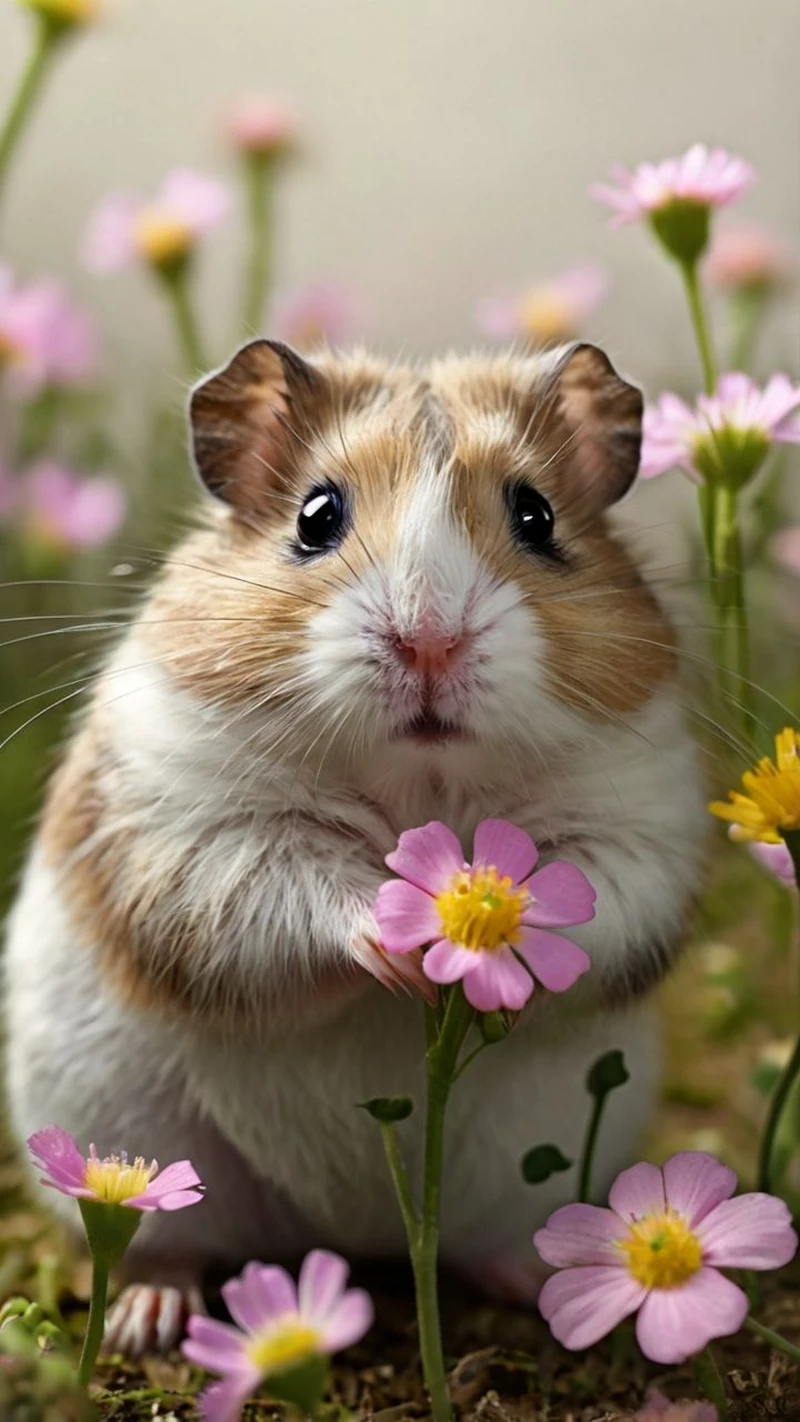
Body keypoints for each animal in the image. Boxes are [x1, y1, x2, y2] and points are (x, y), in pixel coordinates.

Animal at [4, 339, 706, 1354]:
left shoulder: (644, 822)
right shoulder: (190, 834)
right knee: (151, 1238)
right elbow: (300, 887)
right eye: (316, 516)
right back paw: (151, 1321)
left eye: (535, 516)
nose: (431, 642)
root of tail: (359, 1234)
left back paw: (544, 1285)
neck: (419, 780)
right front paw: (401, 952)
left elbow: (590, 897)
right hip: (123, 1133)